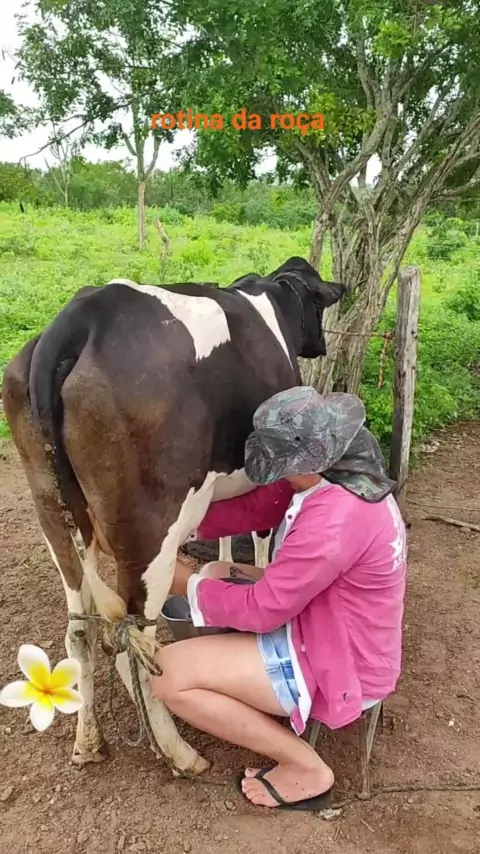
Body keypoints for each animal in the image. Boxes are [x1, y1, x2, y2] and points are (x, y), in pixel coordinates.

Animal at [2, 256, 345, 776]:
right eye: (320, 304)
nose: (320, 344)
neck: (271, 296)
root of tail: (85, 313)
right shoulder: (272, 476)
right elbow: (262, 538)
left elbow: (225, 534)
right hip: (152, 533)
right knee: (133, 637)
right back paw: (177, 750)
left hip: (53, 512)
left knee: (81, 627)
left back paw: (88, 741)